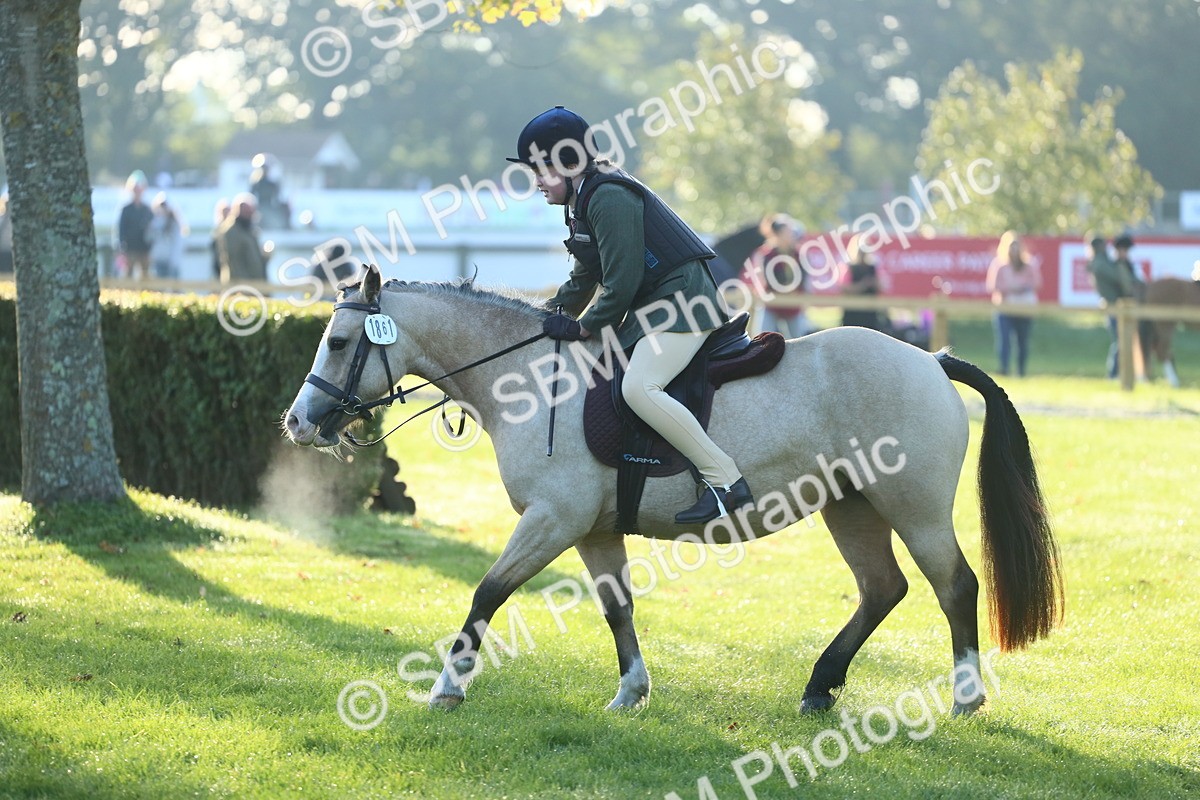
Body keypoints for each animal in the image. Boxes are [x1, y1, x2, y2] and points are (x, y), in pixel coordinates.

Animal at [284, 264, 1062, 716]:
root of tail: (929, 359)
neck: (530, 377)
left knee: (954, 587)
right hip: (852, 507)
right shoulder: (594, 529)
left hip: (913, 506)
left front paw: (447, 687)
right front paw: (631, 693)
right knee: (882, 590)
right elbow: (617, 609)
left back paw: (964, 697)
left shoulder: (552, 520)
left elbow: (487, 593)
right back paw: (818, 688)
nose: (298, 421)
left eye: (338, 342)